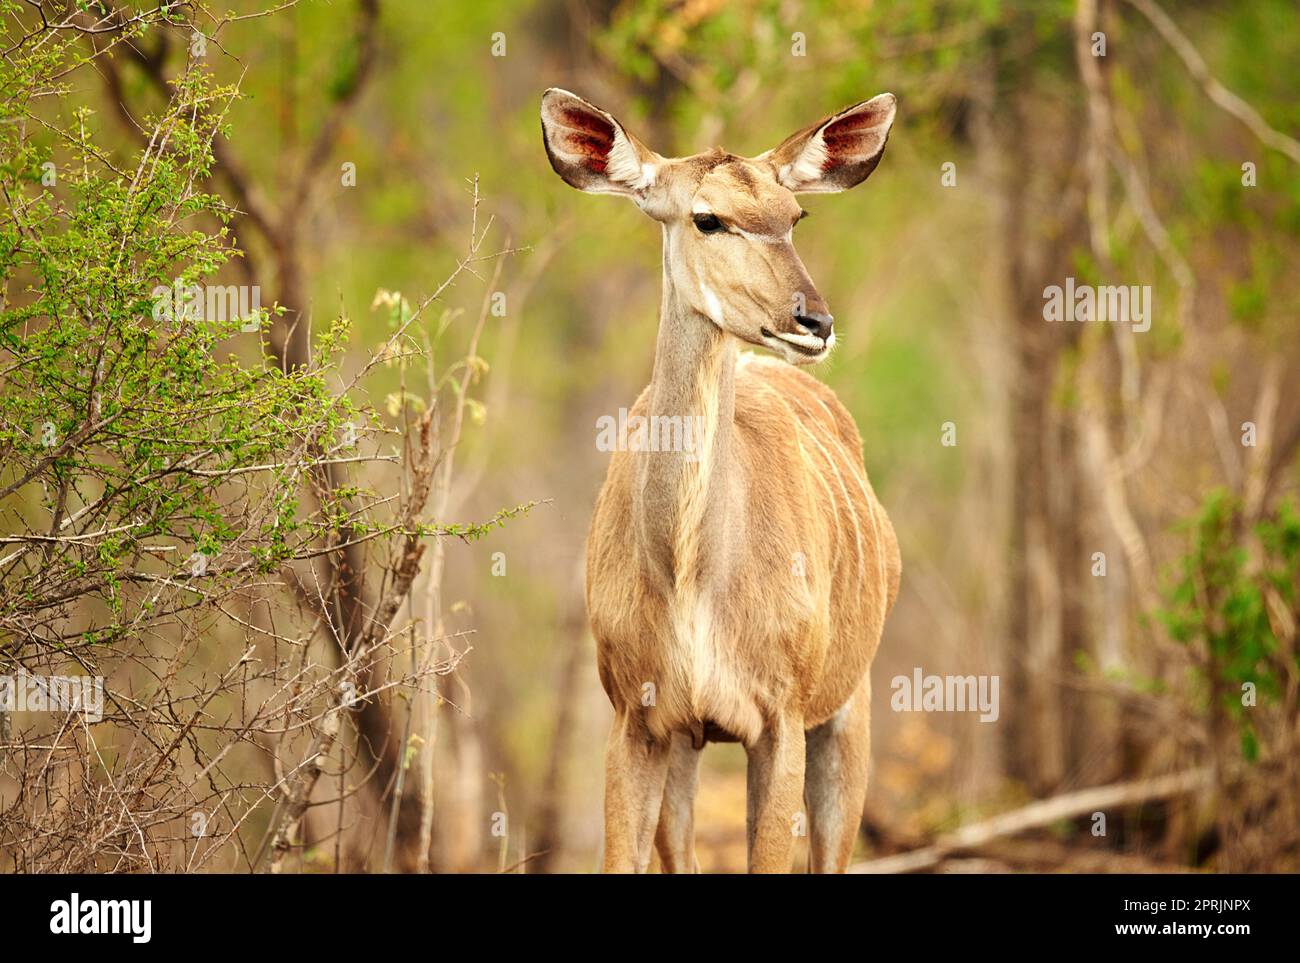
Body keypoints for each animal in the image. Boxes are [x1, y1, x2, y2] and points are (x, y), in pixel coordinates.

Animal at [543, 88, 899, 873]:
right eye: (707, 218)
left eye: (794, 215)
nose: (813, 322)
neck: (690, 574)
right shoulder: (640, 723)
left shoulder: (781, 720)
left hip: (847, 710)